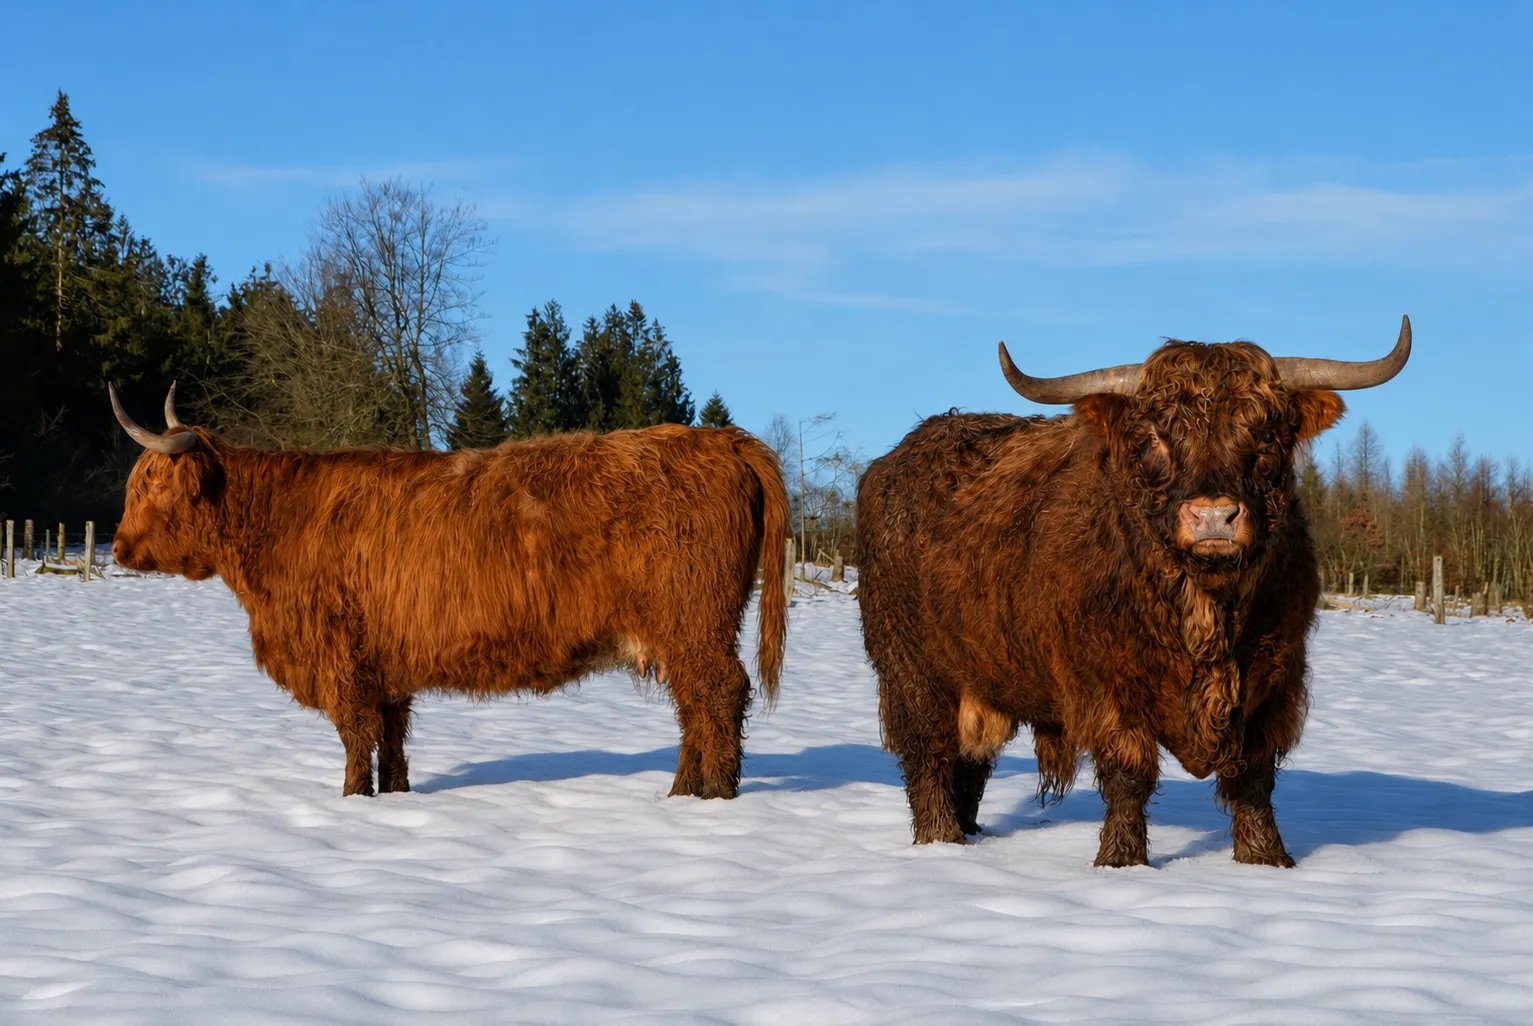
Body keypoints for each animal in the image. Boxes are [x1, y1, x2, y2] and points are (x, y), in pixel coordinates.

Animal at [110, 387, 789, 801]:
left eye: (152, 486)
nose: (116, 548)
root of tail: (723, 439)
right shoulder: (382, 661)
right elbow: (390, 737)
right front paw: (394, 797)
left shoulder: (341, 656)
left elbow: (355, 735)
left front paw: (351, 799)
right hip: (681, 633)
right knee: (694, 707)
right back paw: (682, 794)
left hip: (694, 622)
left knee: (718, 695)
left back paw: (712, 797)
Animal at [856, 317, 1411, 867]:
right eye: (1156, 436)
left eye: (1264, 433)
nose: (1213, 517)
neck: (1206, 614)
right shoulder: (1108, 685)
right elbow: (1129, 774)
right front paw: (1121, 861)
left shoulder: (1274, 684)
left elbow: (1253, 779)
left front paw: (1266, 859)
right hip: (912, 669)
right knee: (929, 755)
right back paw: (941, 841)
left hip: (983, 674)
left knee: (971, 763)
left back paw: (970, 835)